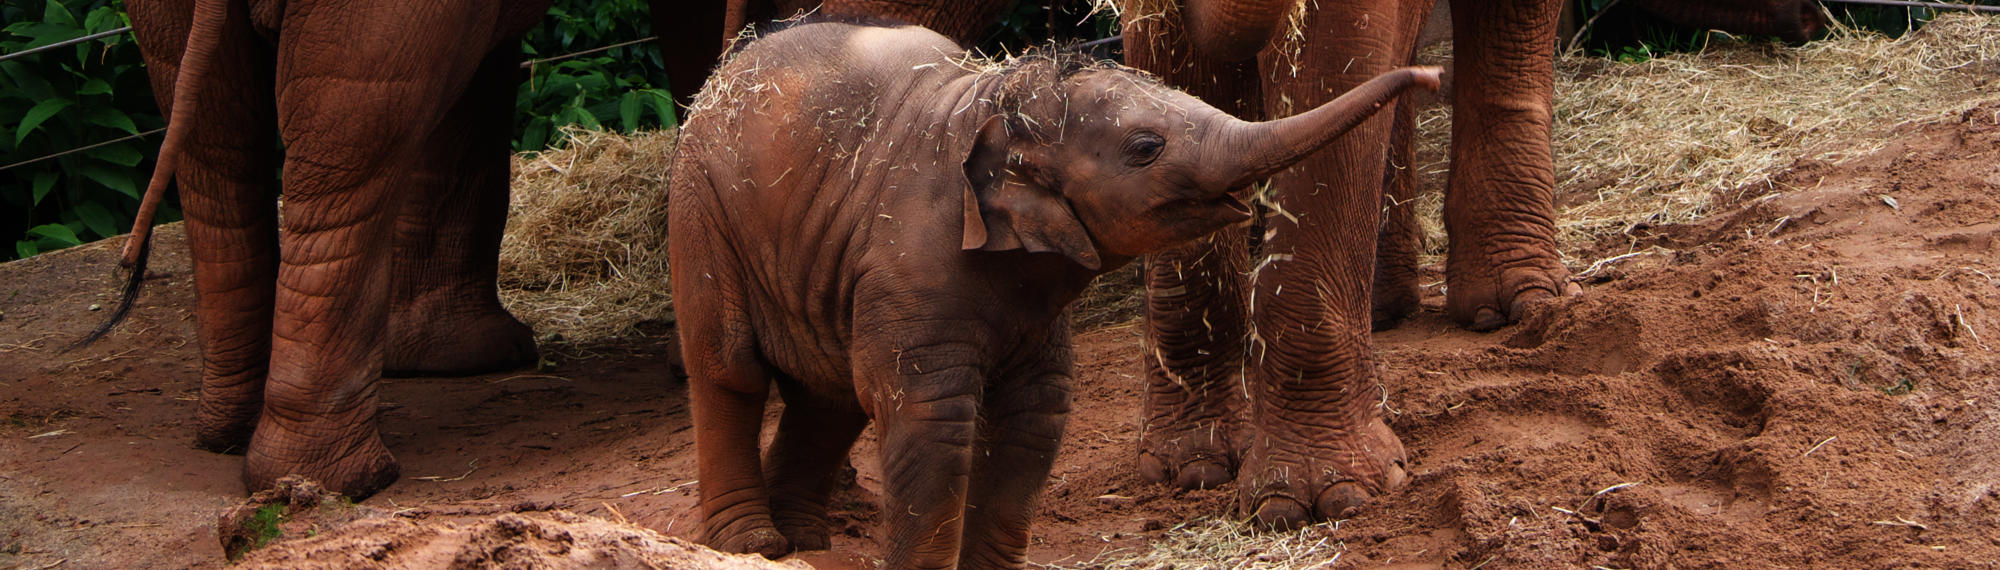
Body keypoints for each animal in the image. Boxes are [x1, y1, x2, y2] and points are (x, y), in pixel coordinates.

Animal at [672, 20, 1440, 564]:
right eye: (1146, 148)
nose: (1432, 73)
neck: (996, 96)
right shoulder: (909, 266)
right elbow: (931, 422)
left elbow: (1034, 420)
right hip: (700, 211)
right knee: (732, 369)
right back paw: (754, 545)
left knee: (828, 396)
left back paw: (805, 543)